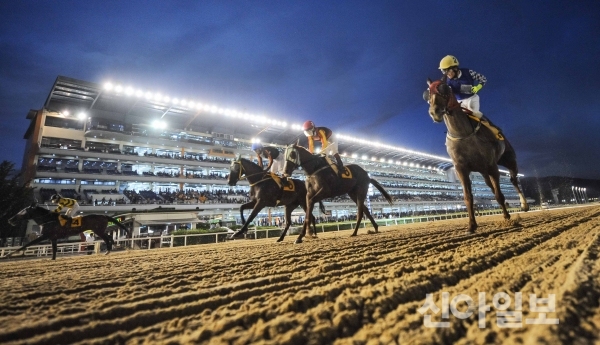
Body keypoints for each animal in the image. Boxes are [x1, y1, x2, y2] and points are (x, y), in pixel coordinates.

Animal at [424, 79, 528, 232]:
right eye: (427, 94)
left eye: (444, 89)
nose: (434, 112)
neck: (463, 134)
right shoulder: (461, 168)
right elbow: (468, 197)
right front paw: (472, 225)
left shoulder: (492, 165)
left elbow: (499, 195)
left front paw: (507, 216)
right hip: (483, 172)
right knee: (492, 186)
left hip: (509, 160)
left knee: (513, 179)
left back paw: (524, 205)